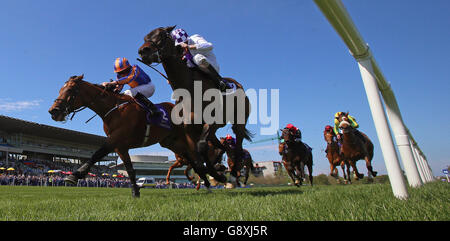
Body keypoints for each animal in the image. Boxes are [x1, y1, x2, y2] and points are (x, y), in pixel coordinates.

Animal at [49, 76, 216, 198]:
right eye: (60, 89)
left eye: (70, 90)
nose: (53, 111)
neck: (113, 109)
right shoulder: (120, 146)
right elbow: (129, 168)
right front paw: (136, 191)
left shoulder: (115, 139)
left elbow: (97, 154)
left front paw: (74, 175)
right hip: (171, 142)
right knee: (190, 160)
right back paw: (206, 185)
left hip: (185, 139)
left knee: (196, 159)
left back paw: (208, 185)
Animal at [137, 26, 253, 188]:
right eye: (145, 38)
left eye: (162, 35)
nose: (143, 51)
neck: (190, 88)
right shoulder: (189, 128)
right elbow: (198, 154)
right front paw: (215, 174)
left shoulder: (212, 121)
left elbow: (202, 147)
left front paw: (218, 175)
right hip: (213, 131)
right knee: (221, 147)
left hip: (239, 122)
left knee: (238, 146)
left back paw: (234, 174)